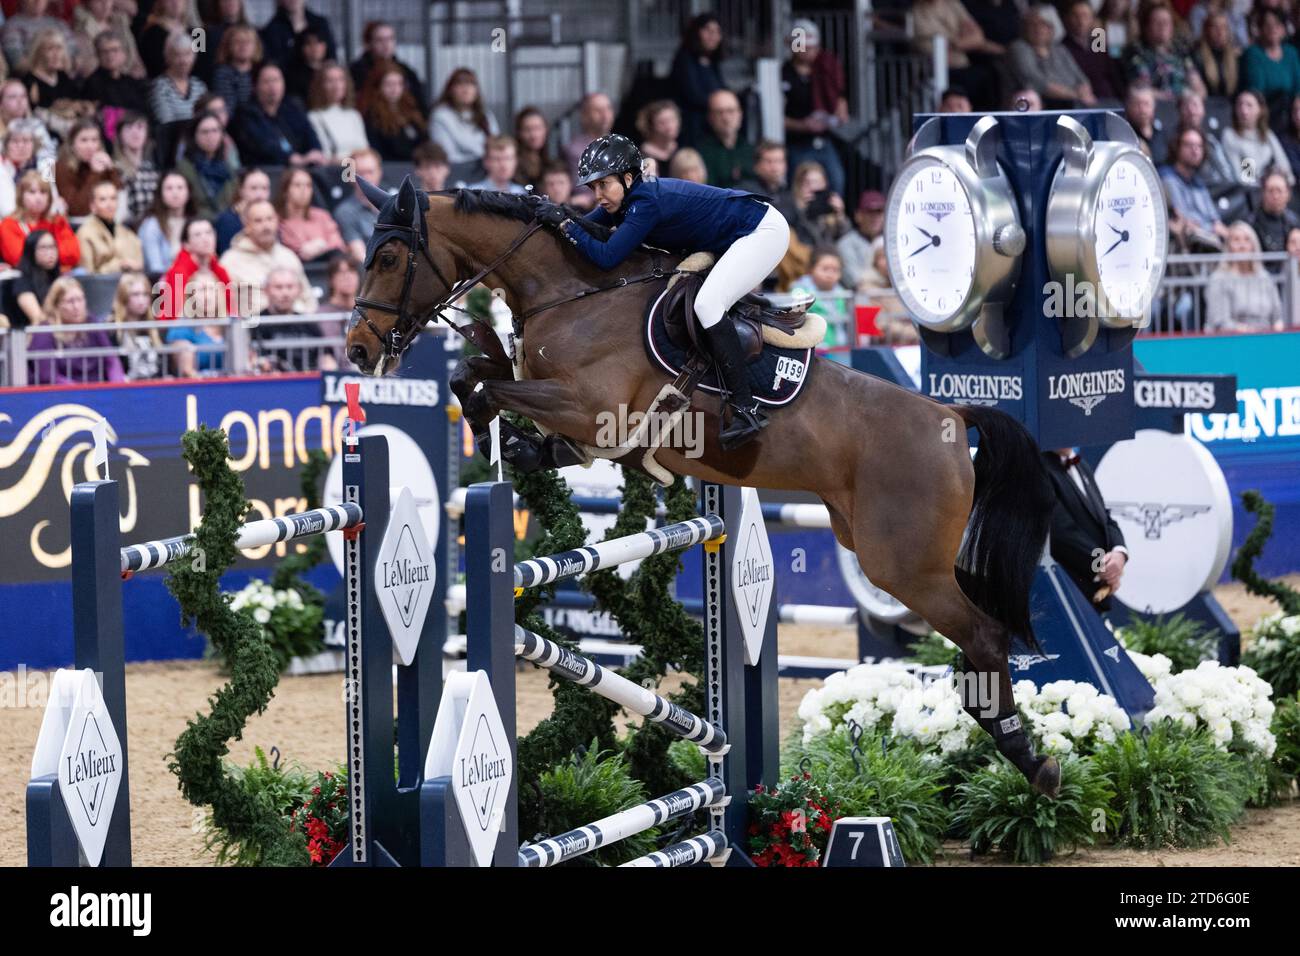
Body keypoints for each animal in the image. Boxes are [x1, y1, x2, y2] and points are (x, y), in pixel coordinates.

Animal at [348, 179, 1066, 801]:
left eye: (388, 257)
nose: (356, 350)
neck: (571, 290)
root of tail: (949, 416)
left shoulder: (590, 407)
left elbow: (485, 388)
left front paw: (503, 437)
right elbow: (475, 370)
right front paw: (522, 444)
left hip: (904, 563)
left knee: (984, 637)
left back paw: (1033, 763)